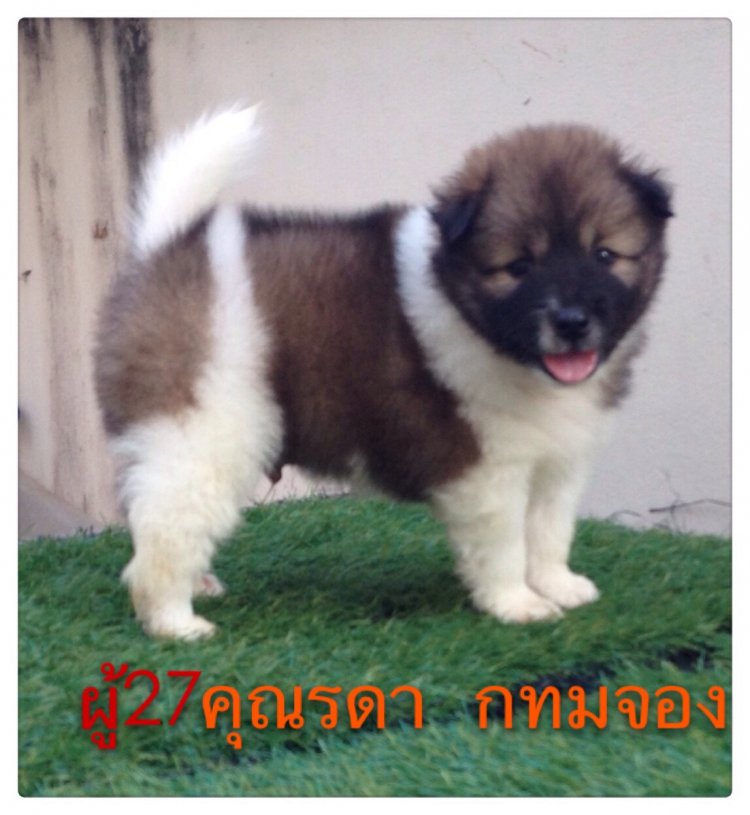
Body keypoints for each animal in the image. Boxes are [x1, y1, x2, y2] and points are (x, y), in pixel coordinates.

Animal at [94, 107, 671, 639]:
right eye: (518, 268)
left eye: (605, 254)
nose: (572, 322)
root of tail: (165, 248)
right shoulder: (487, 469)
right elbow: (506, 542)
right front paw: (518, 604)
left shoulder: (559, 462)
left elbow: (550, 532)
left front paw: (558, 585)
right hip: (203, 432)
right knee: (165, 535)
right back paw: (176, 622)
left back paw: (197, 587)